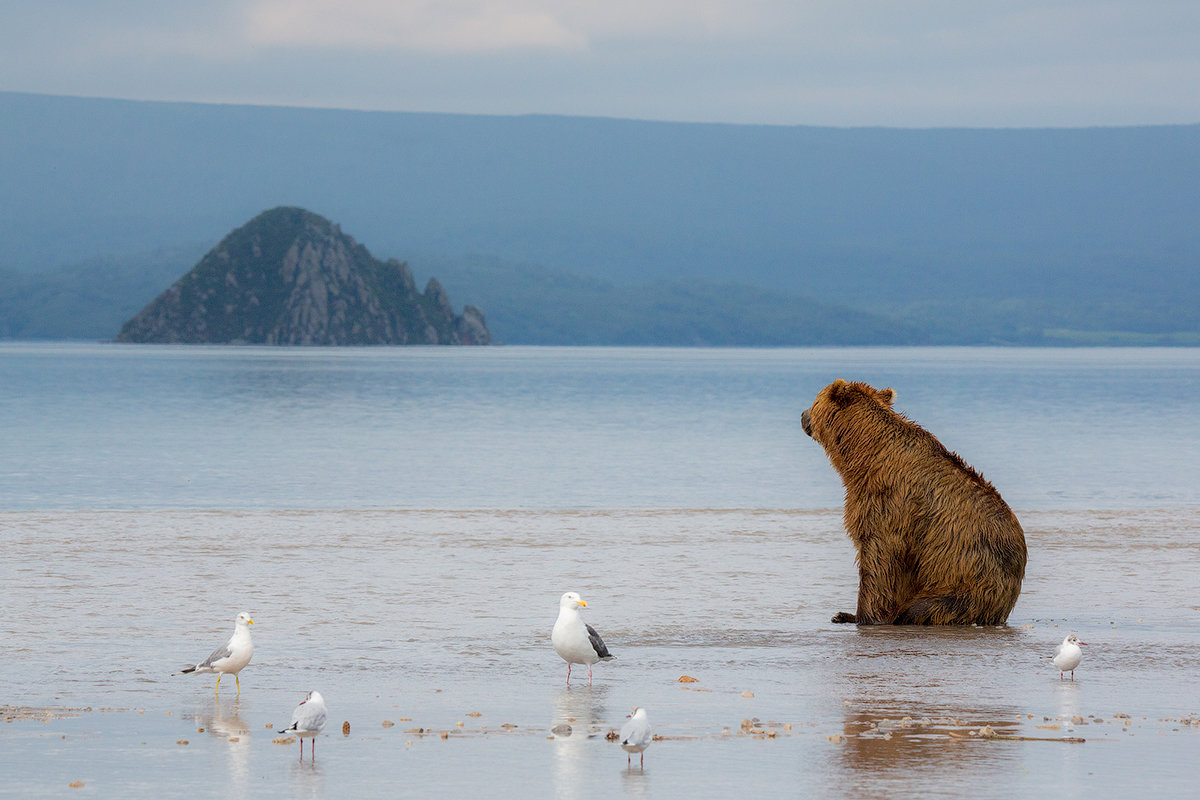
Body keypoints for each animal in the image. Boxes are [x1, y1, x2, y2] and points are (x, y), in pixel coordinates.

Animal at [801, 381, 1027, 623]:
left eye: (814, 400)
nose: (802, 414)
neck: (864, 454)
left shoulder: (888, 501)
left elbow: (879, 556)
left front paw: (855, 615)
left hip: (969, 583)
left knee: (926, 607)